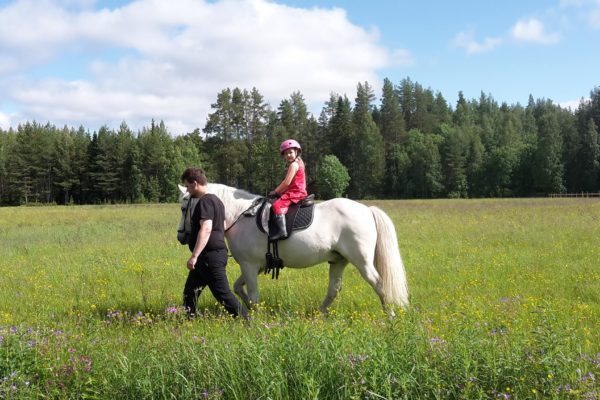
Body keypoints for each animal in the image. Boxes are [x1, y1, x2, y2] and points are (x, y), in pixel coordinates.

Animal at [177, 183, 408, 314]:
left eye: (183, 206)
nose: (181, 236)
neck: (242, 215)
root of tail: (367, 210)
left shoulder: (249, 265)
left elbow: (252, 293)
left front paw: (255, 316)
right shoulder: (256, 266)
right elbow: (237, 288)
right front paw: (250, 309)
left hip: (362, 261)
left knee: (380, 284)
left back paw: (389, 315)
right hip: (338, 260)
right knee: (333, 289)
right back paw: (319, 315)